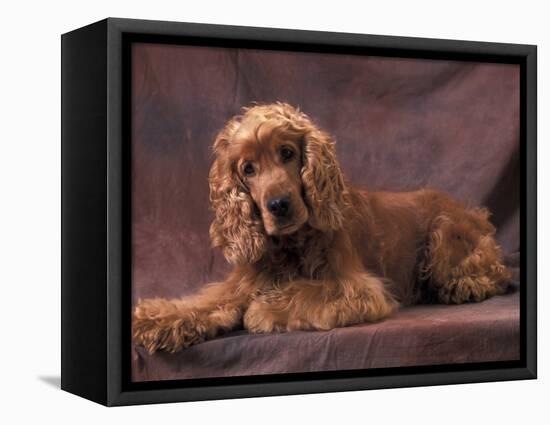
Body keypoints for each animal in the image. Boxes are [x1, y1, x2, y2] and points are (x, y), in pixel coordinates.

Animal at [134, 102, 512, 352]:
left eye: (287, 153)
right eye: (248, 169)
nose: (278, 205)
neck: (289, 247)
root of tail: (475, 212)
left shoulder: (360, 289)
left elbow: (302, 292)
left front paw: (263, 308)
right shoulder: (241, 282)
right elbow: (203, 302)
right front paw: (154, 319)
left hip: (444, 233)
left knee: (494, 273)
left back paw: (461, 287)